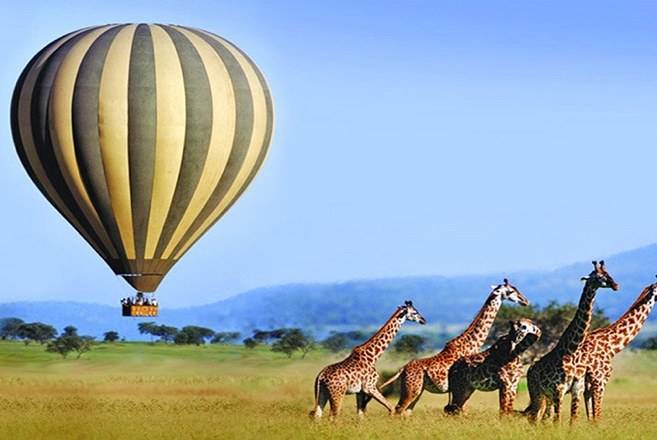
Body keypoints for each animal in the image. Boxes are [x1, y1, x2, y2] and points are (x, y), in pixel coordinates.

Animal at [379, 279, 529, 415]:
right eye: (510, 291)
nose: (525, 301)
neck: (470, 344)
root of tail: (402, 369)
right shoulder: (462, 386)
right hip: (411, 390)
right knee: (398, 411)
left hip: (417, 390)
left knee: (406, 412)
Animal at [523, 260, 619, 423]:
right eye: (599, 276)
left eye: (608, 273)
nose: (616, 285)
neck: (572, 350)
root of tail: (530, 370)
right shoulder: (559, 389)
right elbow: (557, 421)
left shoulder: (577, 388)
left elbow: (572, 420)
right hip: (537, 393)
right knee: (534, 418)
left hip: (547, 397)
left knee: (542, 418)